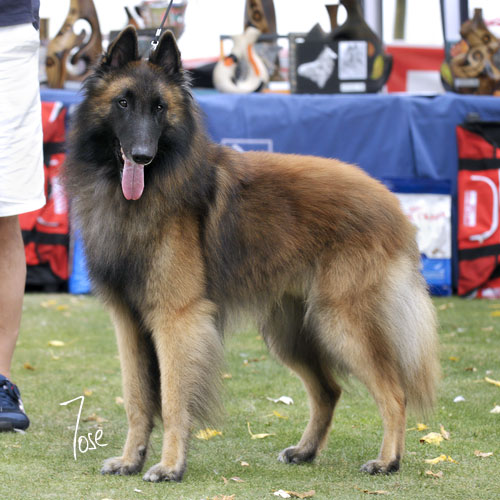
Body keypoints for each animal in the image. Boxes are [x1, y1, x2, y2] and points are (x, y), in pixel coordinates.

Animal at [64, 26, 440, 483]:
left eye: (160, 108)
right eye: (122, 102)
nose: (141, 155)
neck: (141, 195)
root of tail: (391, 202)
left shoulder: (176, 319)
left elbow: (171, 400)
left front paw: (170, 466)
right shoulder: (129, 324)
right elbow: (137, 399)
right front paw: (130, 460)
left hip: (341, 322)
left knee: (394, 392)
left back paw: (388, 460)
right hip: (291, 333)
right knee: (329, 390)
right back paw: (305, 451)